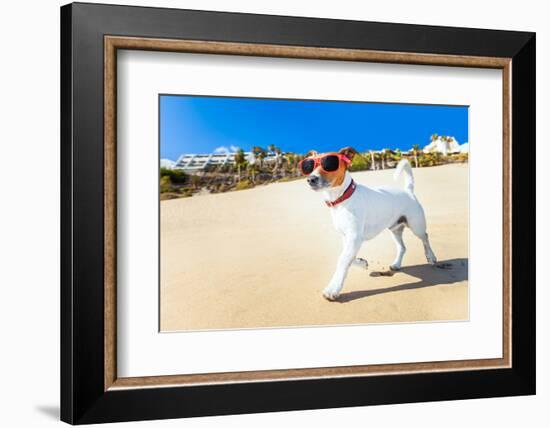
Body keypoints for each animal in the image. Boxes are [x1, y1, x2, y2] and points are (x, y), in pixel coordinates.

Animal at [300, 147, 438, 300]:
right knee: (402, 247)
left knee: (425, 237)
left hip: (416, 226)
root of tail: (408, 191)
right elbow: (348, 257)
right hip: (395, 229)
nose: (310, 179)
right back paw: (396, 264)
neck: (342, 198)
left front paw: (333, 288)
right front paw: (362, 262)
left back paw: (431, 257)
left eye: (329, 164)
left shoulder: (354, 237)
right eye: (309, 166)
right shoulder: (347, 237)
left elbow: (342, 259)